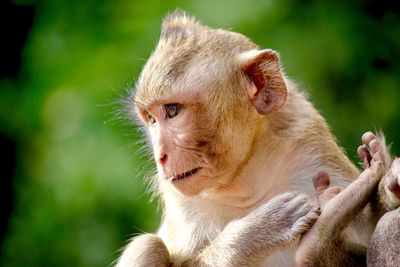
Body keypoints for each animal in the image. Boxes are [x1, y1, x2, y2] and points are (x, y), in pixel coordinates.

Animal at [115, 12, 400, 267]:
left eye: (173, 110)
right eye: (151, 118)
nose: (160, 156)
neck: (245, 179)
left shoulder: (311, 147)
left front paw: (388, 186)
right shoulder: (182, 203)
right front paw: (256, 232)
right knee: (147, 245)